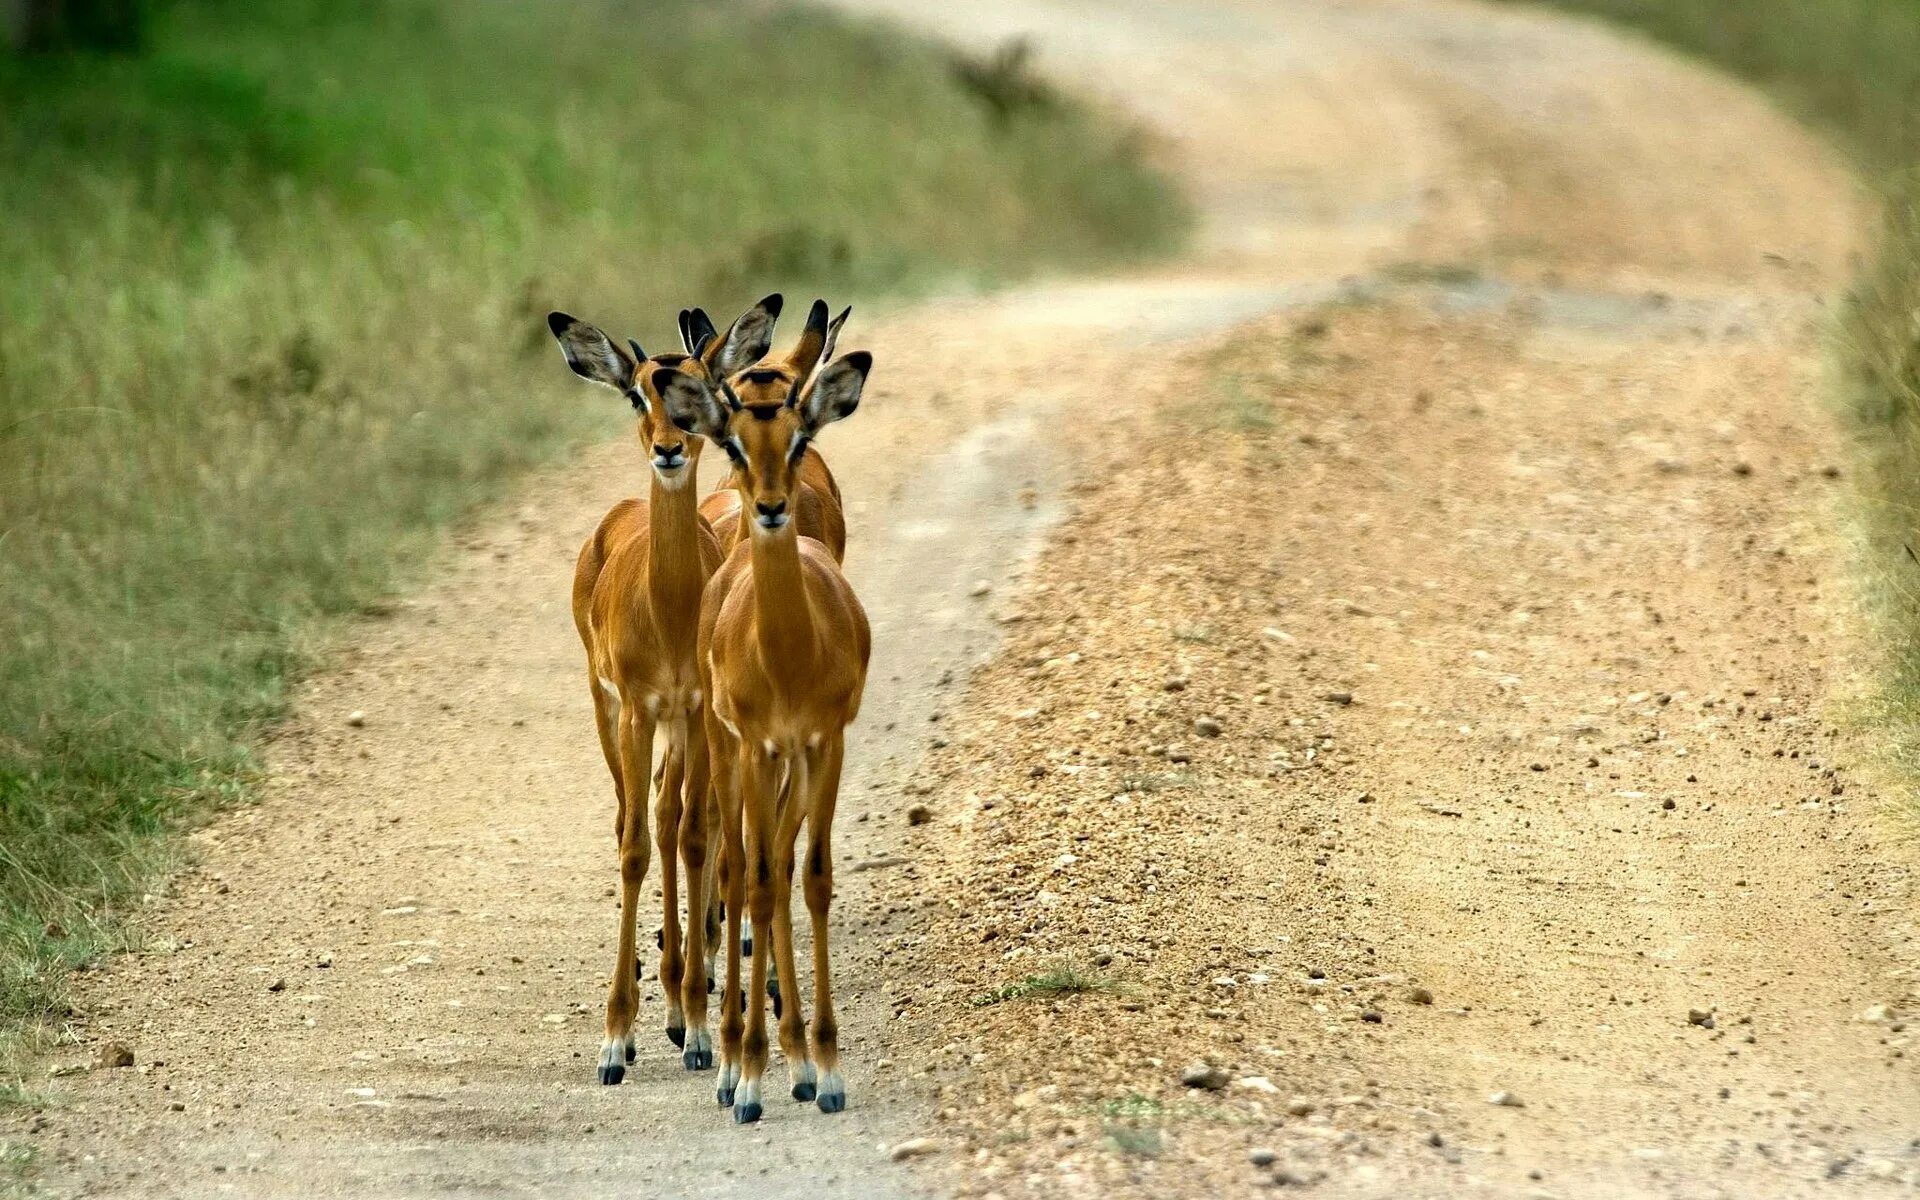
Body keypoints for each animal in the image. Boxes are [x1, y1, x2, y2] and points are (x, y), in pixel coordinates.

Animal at [549, 295, 779, 1082]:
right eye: (635, 393)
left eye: (704, 389)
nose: (670, 447)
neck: (670, 609)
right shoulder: (638, 711)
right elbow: (633, 850)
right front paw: (615, 1041)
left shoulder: (697, 712)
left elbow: (695, 837)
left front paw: (701, 1030)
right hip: (607, 711)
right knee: (635, 817)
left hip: (679, 729)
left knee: (673, 816)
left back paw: (682, 1002)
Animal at [656, 322, 875, 1121]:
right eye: (735, 444)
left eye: (800, 437)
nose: (773, 506)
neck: (786, 655)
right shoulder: (754, 745)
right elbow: (751, 878)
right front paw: (745, 1074)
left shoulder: (824, 742)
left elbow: (808, 878)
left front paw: (826, 1068)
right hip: (727, 748)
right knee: (735, 861)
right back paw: (727, 1056)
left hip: (785, 758)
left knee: (773, 870)